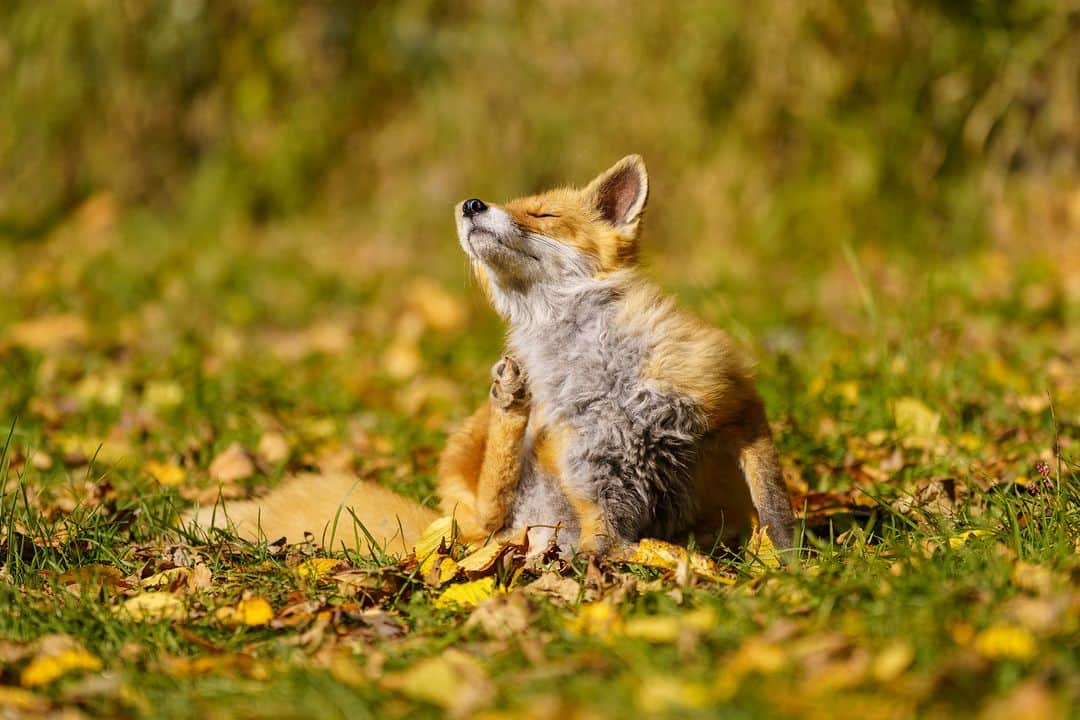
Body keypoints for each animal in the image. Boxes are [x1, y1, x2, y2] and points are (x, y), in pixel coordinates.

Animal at [187, 157, 794, 561]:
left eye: (542, 214)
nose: (470, 204)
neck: (601, 375)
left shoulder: (733, 401)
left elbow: (774, 505)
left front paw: (788, 564)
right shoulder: (592, 481)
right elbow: (606, 548)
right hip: (470, 473)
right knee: (488, 512)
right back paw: (512, 405)